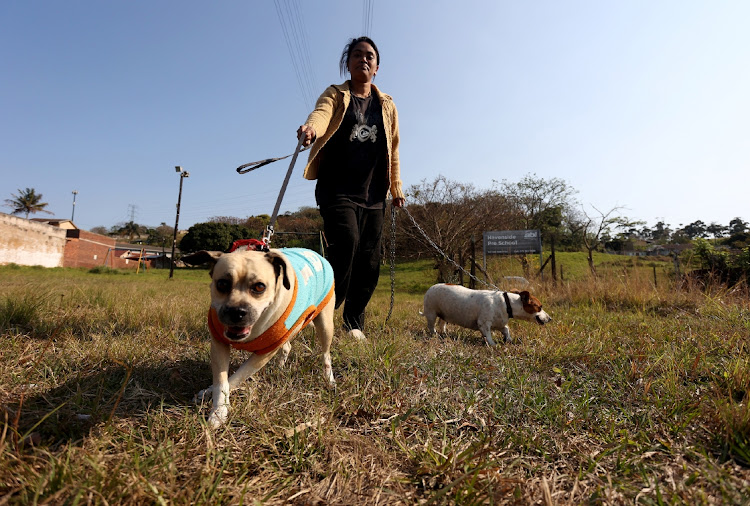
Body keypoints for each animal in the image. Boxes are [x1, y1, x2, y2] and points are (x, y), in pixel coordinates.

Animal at [184, 247, 336, 428]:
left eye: (259, 287)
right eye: (222, 284)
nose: (236, 312)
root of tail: (316, 253)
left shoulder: (263, 354)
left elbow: (235, 378)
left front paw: (218, 408)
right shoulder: (219, 344)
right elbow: (222, 381)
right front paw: (216, 405)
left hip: (325, 325)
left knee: (326, 354)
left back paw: (329, 379)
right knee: (287, 347)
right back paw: (279, 367)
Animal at [424, 282, 552, 346]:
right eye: (540, 307)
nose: (550, 318)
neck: (506, 303)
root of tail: (430, 288)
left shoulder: (499, 323)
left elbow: (506, 330)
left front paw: (508, 339)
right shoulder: (484, 324)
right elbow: (488, 336)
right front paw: (493, 344)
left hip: (444, 316)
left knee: (442, 324)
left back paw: (444, 334)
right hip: (431, 313)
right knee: (431, 326)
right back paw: (434, 334)